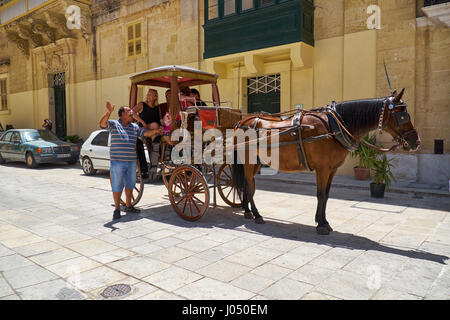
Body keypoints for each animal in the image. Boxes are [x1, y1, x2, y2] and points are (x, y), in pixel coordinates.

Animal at [234, 89, 420, 235]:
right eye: (403, 115)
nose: (416, 142)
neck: (333, 126)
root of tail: (242, 121)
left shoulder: (332, 169)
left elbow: (327, 195)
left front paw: (324, 221)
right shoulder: (322, 169)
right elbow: (321, 195)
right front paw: (321, 225)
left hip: (256, 162)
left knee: (247, 185)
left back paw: (247, 211)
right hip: (249, 162)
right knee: (249, 185)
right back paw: (257, 215)